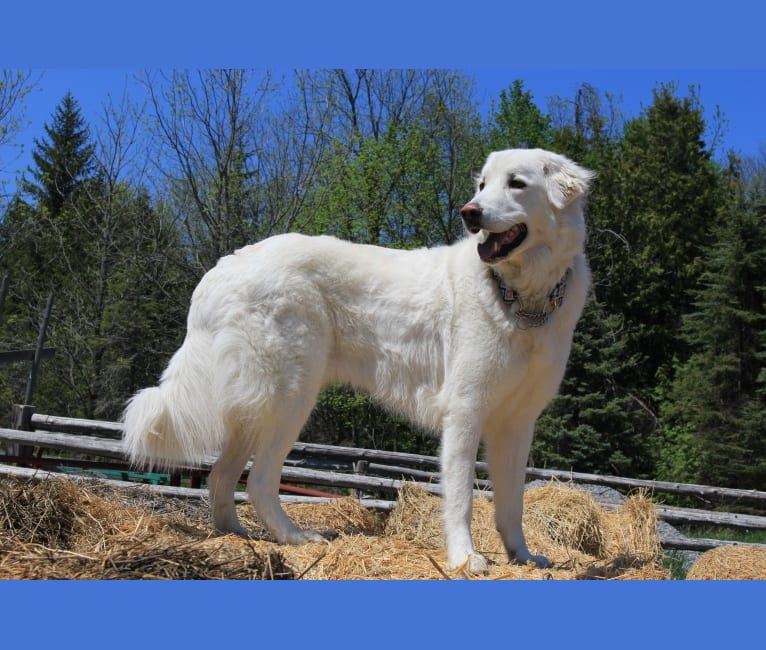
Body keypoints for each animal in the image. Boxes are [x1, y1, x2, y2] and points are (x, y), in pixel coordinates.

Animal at [123, 148, 596, 572]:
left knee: (221, 477)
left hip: (259, 407)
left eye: (516, 183)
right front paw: (464, 558)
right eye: (482, 185)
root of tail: (224, 265)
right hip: (291, 398)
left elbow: (512, 504)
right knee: (257, 482)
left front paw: (522, 557)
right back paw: (296, 537)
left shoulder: (516, 425)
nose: (470, 213)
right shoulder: (465, 412)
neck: (520, 299)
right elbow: (462, 498)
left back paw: (235, 536)